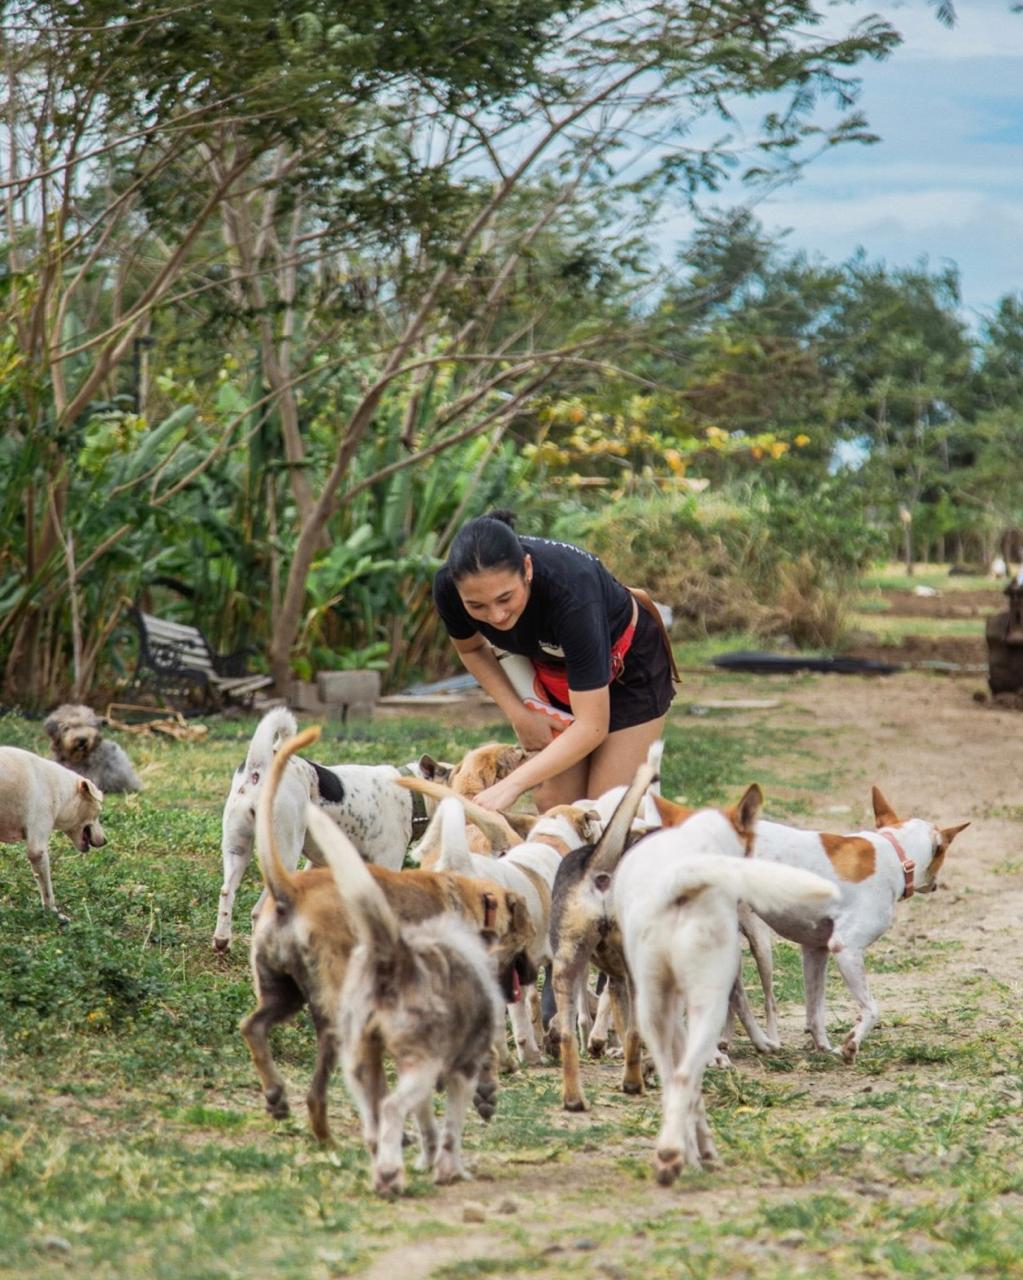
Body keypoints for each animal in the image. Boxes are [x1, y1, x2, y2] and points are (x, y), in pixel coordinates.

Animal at [212, 711, 440, 952]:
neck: (413, 794)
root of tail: (261, 767)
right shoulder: (388, 864)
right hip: (283, 856)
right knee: (258, 912)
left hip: (237, 849)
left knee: (227, 891)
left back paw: (222, 940)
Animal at [752, 788, 967, 1059]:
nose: (936, 885)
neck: (895, 854)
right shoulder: (847, 948)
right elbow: (872, 1009)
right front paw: (851, 1044)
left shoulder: (815, 950)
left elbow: (815, 1012)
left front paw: (823, 1048)